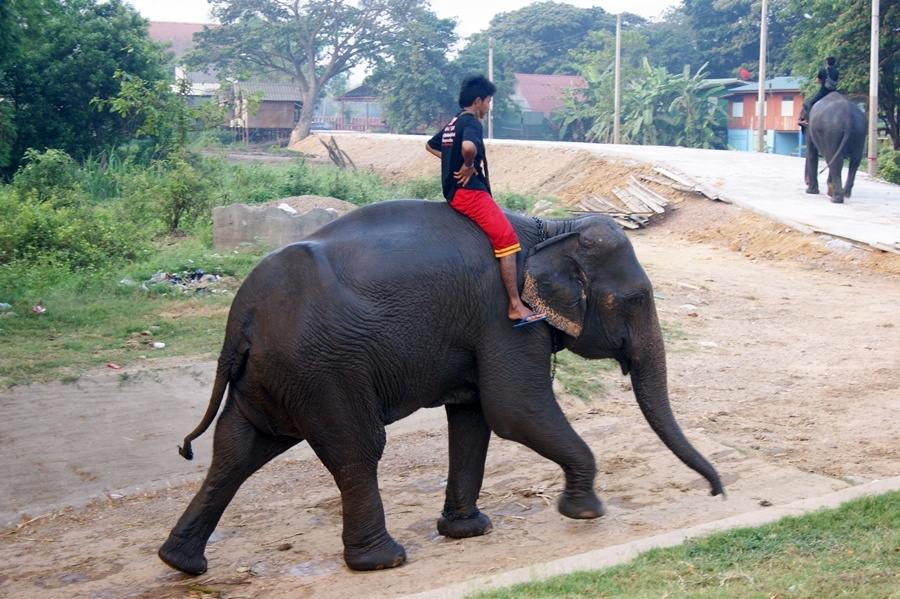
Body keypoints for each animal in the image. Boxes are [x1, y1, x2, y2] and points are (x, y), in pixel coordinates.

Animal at [156, 202, 724, 576]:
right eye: (637, 298)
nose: (717, 492)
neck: (552, 229)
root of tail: (241, 316)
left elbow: (475, 418)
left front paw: (470, 531)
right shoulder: (508, 318)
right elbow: (514, 410)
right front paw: (585, 512)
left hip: (273, 375)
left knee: (239, 449)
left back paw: (181, 563)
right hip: (324, 369)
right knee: (357, 449)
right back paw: (383, 561)